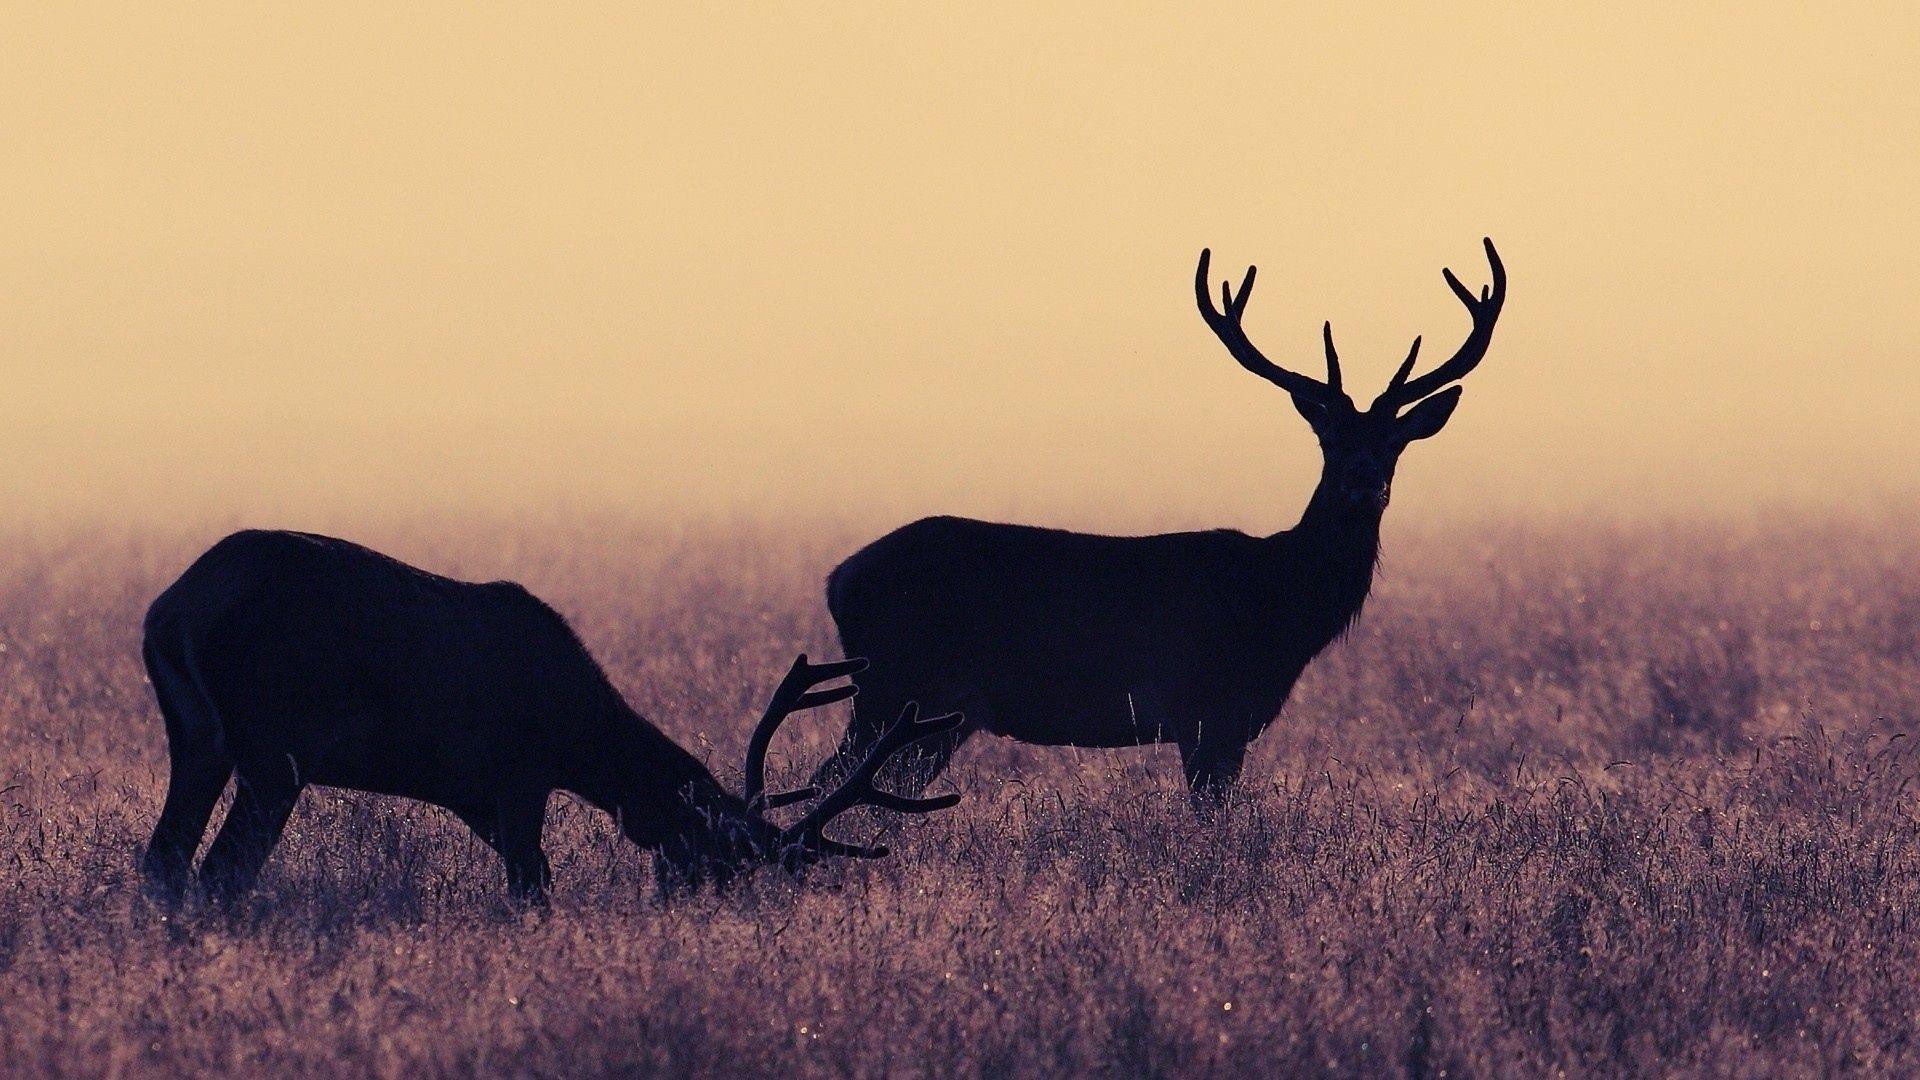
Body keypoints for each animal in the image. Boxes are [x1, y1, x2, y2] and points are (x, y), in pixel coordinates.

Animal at [138, 529, 963, 906]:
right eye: (721, 861)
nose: (684, 913)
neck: (578, 735)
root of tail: (176, 609)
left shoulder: (479, 795)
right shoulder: (518, 770)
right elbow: (531, 881)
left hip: (198, 739)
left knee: (165, 859)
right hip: (274, 746)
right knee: (222, 870)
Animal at [810, 239, 1506, 809]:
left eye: (1395, 445)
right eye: (1328, 439)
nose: (1364, 482)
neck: (1282, 607)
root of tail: (838, 578)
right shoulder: (1209, 711)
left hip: (930, 713)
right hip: (894, 687)